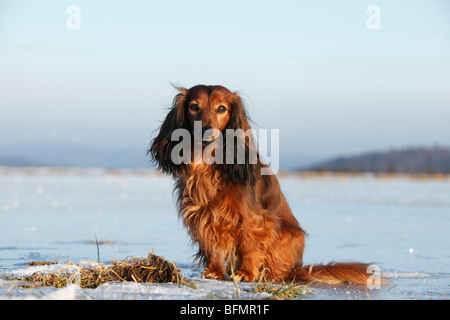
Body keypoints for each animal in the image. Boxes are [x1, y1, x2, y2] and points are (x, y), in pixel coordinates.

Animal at [149, 84, 378, 284]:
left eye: (221, 108)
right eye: (194, 106)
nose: (205, 131)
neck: (210, 166)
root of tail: (298, 267)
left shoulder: (253, 218)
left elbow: (249, 245)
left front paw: (246, 273)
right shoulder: (204, 215)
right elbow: (211, 244)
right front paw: (214, 271)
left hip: (287, 234)